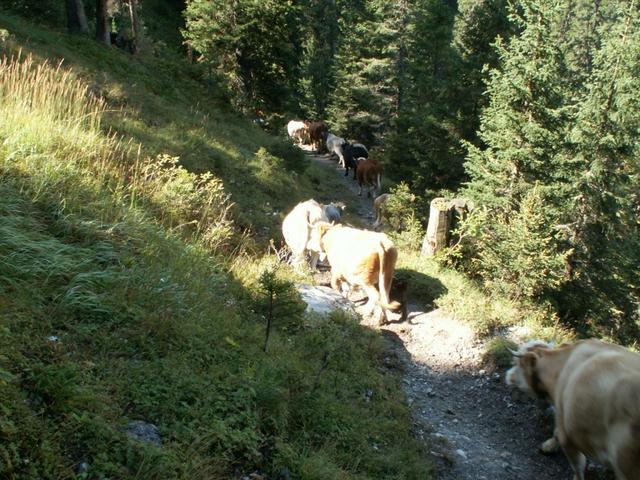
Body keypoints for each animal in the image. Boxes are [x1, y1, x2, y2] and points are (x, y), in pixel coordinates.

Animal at [504, 338, 640, 480]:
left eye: (518, 363)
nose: (507, 376)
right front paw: (548, 446)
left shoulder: (567, 434)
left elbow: (577, 465)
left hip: (625, 463)